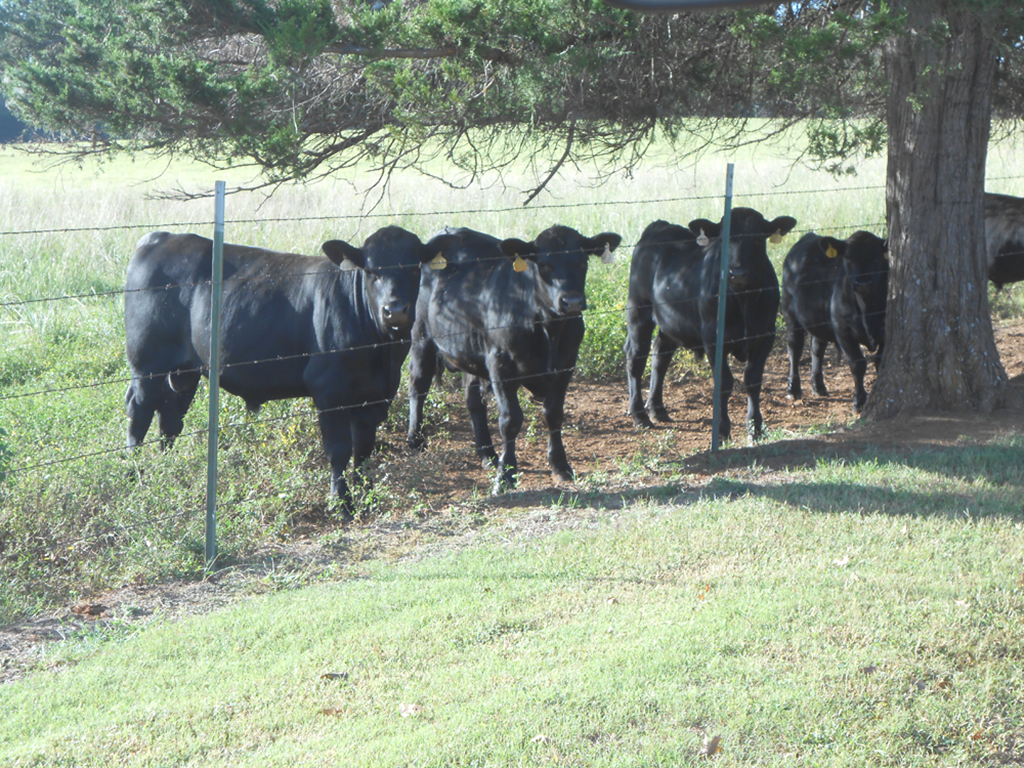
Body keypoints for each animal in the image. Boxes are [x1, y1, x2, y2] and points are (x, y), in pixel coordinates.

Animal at [125, 228, 434, 518]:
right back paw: (133, 473)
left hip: (183, 371)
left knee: (170, 418)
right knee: (139, 413)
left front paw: (366, 497)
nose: (395, 310)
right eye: (370, 272)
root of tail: (160, 237)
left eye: (415, 267)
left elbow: (364, 450)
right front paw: (342, 505)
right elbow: (339, 450)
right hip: (147, 365)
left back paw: (166, 467)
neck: (382, 353)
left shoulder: (376, 395)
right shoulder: (329, 391)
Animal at [407, 227, 622, 493]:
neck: (549, 328)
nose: (571, 302)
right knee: (418, 385)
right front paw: (506, 475)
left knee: (473, 400)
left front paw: (560, 466)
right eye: (544, 265)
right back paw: (416, 440)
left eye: (583, 262)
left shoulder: (566, 365)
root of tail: (449, 231)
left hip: (470, 352)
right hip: (421, 337)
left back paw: (488, 455)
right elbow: (510, 420)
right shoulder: (500, 365)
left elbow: (554, 413)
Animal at [622, 208, 798, 438]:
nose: (737, 273)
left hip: (670, 321)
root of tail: (660, 226)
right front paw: (722, 430)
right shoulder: (713, 338)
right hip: (638, 310)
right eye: (723, 239)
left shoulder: (765, 336)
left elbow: (753, 380)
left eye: (759, 239)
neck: (743, 300)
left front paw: (755, 427)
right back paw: (639, 415)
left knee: (660, 355)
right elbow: (724, 382)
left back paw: (657, 410)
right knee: (636, 358)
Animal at [782, 230, 888, 415]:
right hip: (790, 314)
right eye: (848, 259)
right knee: (794, 349)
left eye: (876, 258)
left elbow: (879, 361)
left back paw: (819, 387)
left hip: (819, 320)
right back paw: (793, 390)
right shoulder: (843, 331)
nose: (862, 283)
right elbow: (858, 364)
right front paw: (859, 402)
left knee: (817, 348)